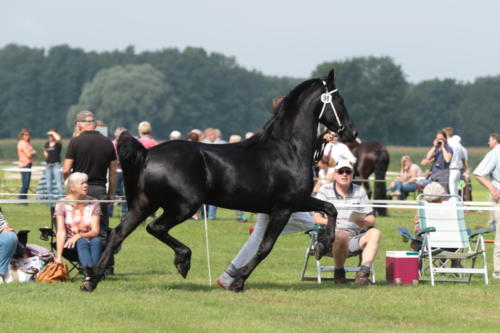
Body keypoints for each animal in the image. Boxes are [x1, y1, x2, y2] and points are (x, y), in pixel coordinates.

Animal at [83, 69, 356, 290]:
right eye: (340, 100)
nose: (352, 132)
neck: (288, 148)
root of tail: (148, 153)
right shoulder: (286, 206)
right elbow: (266, 246)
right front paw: (238, 281)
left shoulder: (294, 203)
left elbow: (329, 208)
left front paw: (323, 243)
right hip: (184, 205)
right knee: (155, 228)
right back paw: (183, 261)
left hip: (144, 204)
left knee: (117, 234)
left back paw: (91, 280)